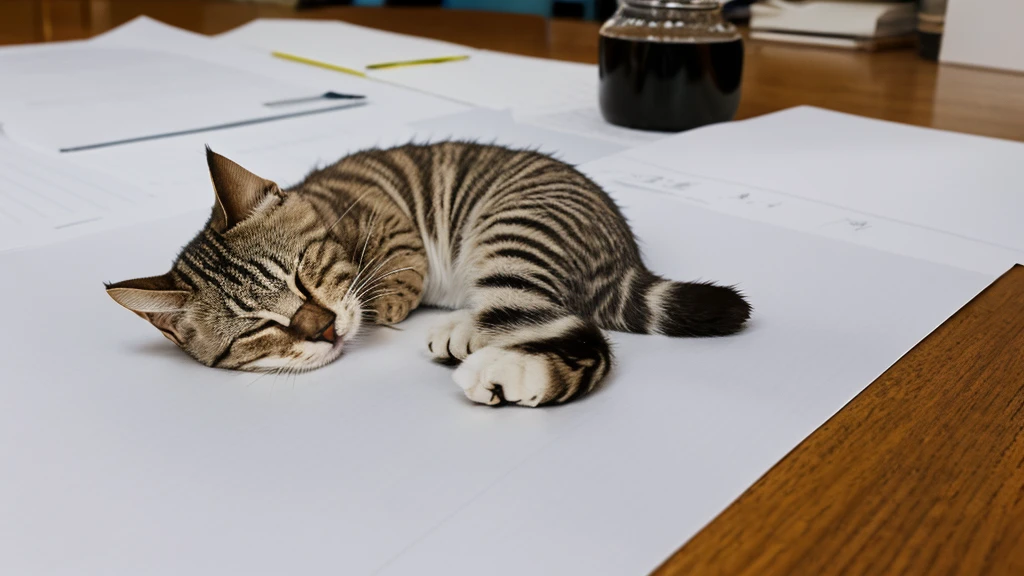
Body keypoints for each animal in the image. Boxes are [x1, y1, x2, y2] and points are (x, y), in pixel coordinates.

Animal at [105, 142, 753, 403]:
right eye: (259, 329)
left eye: (304, 276)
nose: (324, 330)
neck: (324, 206)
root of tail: (623, 250)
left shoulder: (387, 215)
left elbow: (401, 260)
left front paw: (385, 299)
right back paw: (469, 335)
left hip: (511, 231)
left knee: (571, 328)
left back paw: (516, 373)